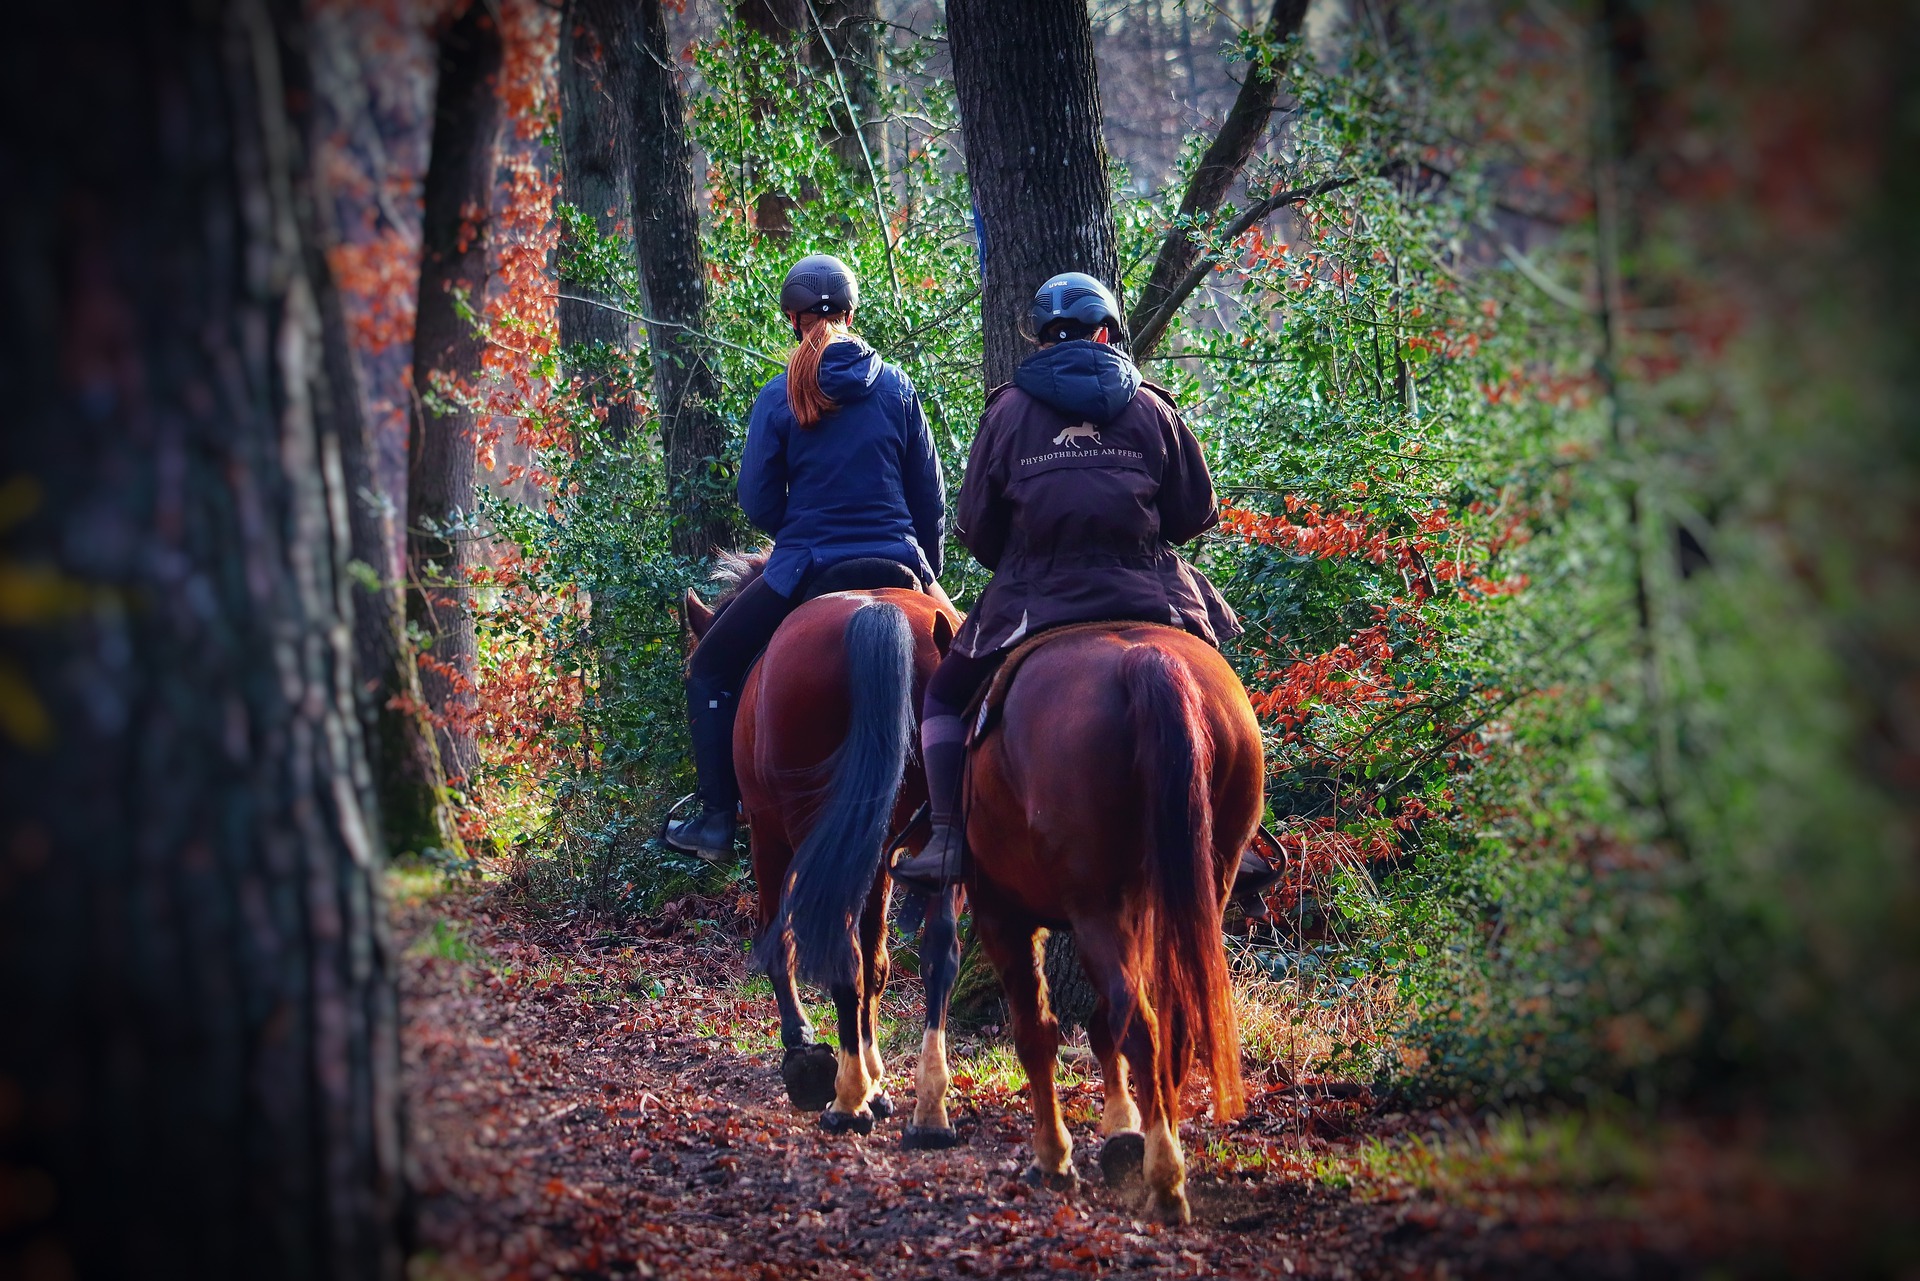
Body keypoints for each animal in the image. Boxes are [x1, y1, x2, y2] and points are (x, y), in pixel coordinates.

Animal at [683, 560, 967, 1144]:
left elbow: (778, 940)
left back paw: (846, 1102)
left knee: (835, 948)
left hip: (797, 825)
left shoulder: (768, 836)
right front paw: (877, 1081)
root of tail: (879, 617)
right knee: (937, 954)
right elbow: (877, 965)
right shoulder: (876, 855)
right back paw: (928, 1109)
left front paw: (805, 1051)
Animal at [933, 626, 1267, 1229]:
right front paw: (1119, 1128)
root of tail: (1145, 662)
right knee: (1170, 1023)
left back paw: (1164, 1180)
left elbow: (1037, 1032)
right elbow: (1097, 1024)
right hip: (1203, 880)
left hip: (1093, 907)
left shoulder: (1003, 915)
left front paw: (1054, 1157)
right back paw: (1163, 1150)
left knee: (1141, 1024)